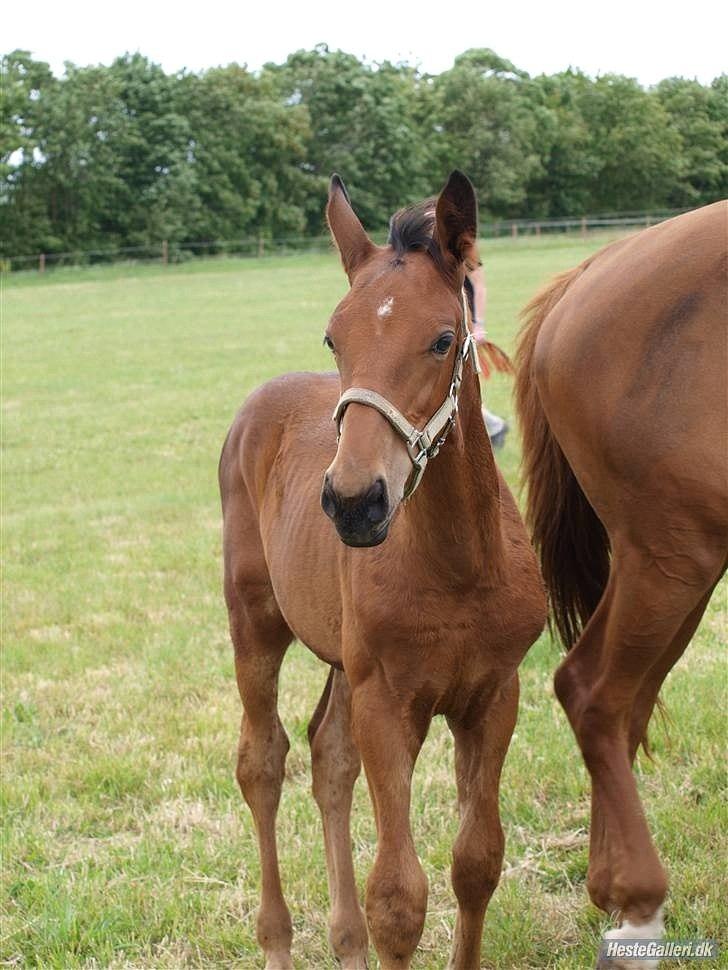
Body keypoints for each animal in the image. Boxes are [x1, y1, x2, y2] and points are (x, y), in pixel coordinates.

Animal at [219, 170, 544, 964]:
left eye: (444, 339)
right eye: (335, 336)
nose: (353, 501)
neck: (460, 567)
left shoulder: (495, 695)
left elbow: (476, 863)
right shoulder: (387, 702)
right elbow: (398, 898)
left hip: (342, 654)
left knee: (327, 756)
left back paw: (345, 941)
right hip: (255, 623)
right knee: (262, 760)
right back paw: (278, 941)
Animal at [516, 200, 728, 964]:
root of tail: (587, 277)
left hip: (673, 562)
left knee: (619, 702)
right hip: (672, 557)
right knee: (597, 695)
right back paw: (637, 906)